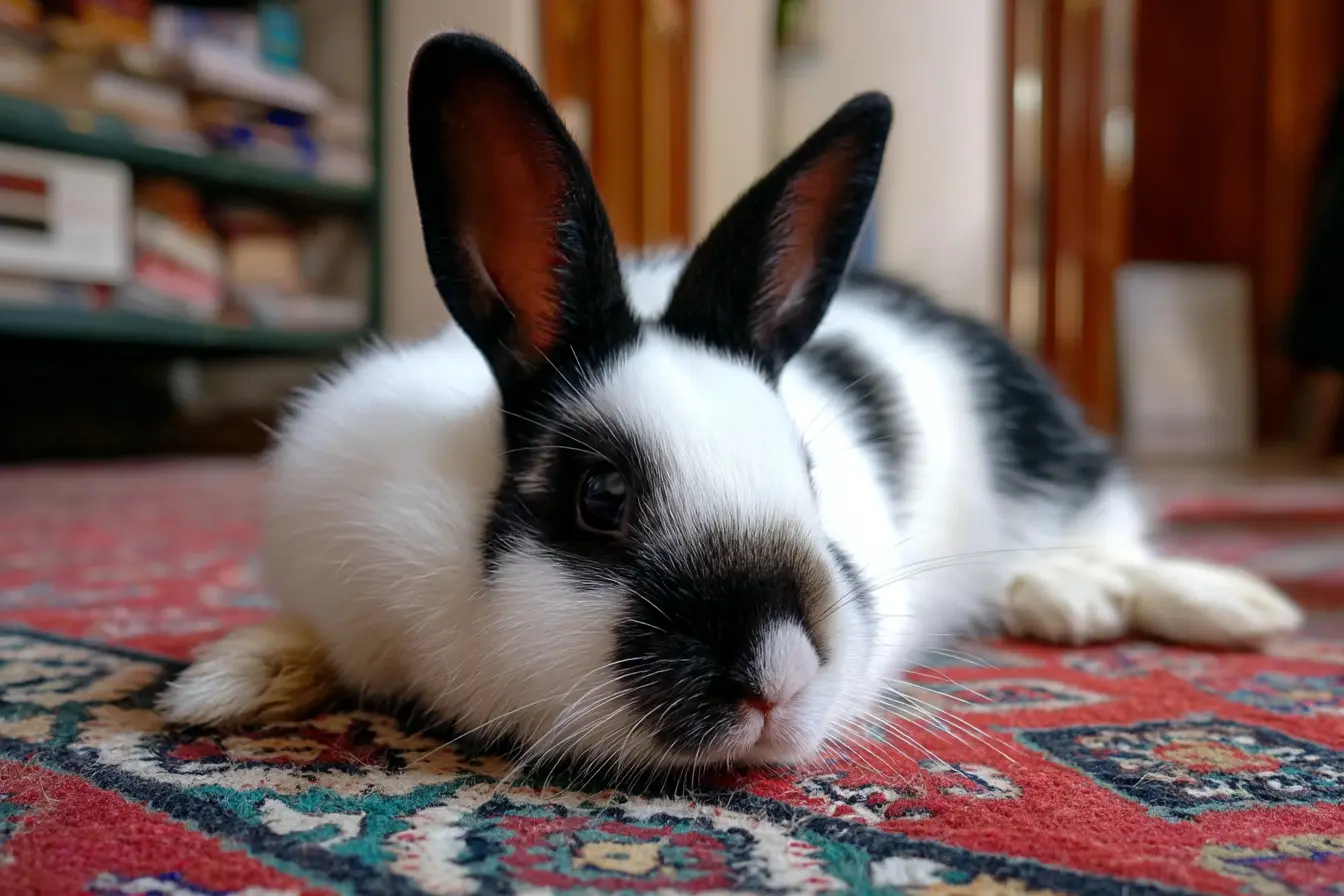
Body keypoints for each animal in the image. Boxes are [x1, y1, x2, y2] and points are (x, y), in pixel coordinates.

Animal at [158, 32, 1302, 774]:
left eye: (809, 474)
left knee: (1117, 542)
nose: (781, 680)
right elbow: (301, 635)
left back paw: (1178, 602)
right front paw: (232, 681)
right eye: (600, 495)